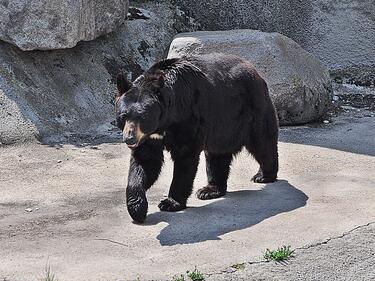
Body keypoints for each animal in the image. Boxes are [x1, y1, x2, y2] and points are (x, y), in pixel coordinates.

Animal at [115, 52, 280, 222]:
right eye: (123, 116)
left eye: (143, 117)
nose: (129, 138)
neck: (166, 121)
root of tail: (256, 72)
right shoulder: (149, 137)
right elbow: (145, 161)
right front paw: (137, 208)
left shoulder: (188, 116)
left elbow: (185, 158)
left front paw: (170, 203)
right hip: (223, 125)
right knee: (217, 155)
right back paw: (210, 190)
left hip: (252, 109)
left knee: (262, 142)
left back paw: (264, 175)